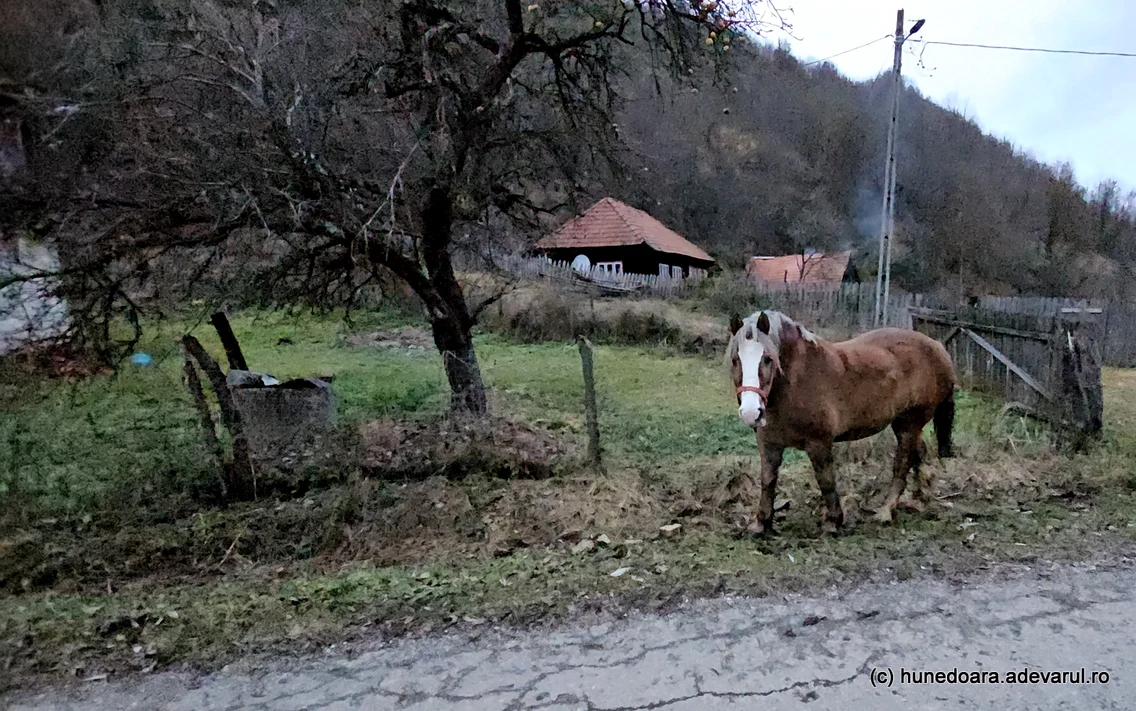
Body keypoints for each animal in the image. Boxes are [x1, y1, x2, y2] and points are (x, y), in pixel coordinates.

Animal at [725, 310, 957, 535]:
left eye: (767, 359)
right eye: (735, 359)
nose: (750, 412)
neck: (797, 380)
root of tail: (938, 347)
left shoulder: (819, 443)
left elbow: (825, 479)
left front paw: (833, 521)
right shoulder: (769, 443)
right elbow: (768, 480)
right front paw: (761, 523)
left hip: (910, 423)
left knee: (902, 463)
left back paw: (886, 511)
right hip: (903, 424)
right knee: (919, 453)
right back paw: (918, 500)